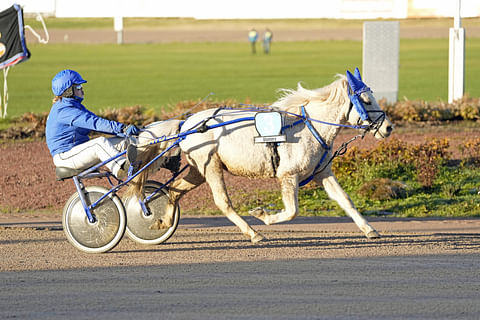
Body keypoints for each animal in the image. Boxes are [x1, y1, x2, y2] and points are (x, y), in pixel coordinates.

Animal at [130, 70, 390, 244]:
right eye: (366, 100)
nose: (388, 127)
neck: (308, 127)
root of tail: (187, 123)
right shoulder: (288, 175)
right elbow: (292, 211)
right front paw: (262, 215)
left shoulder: (322, 172)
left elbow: (345, 200)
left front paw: (369, 230)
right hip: (210, 166)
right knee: (222, 202)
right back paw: (254, 233)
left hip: (198, 170)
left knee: (173, 191)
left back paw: (163, 221)